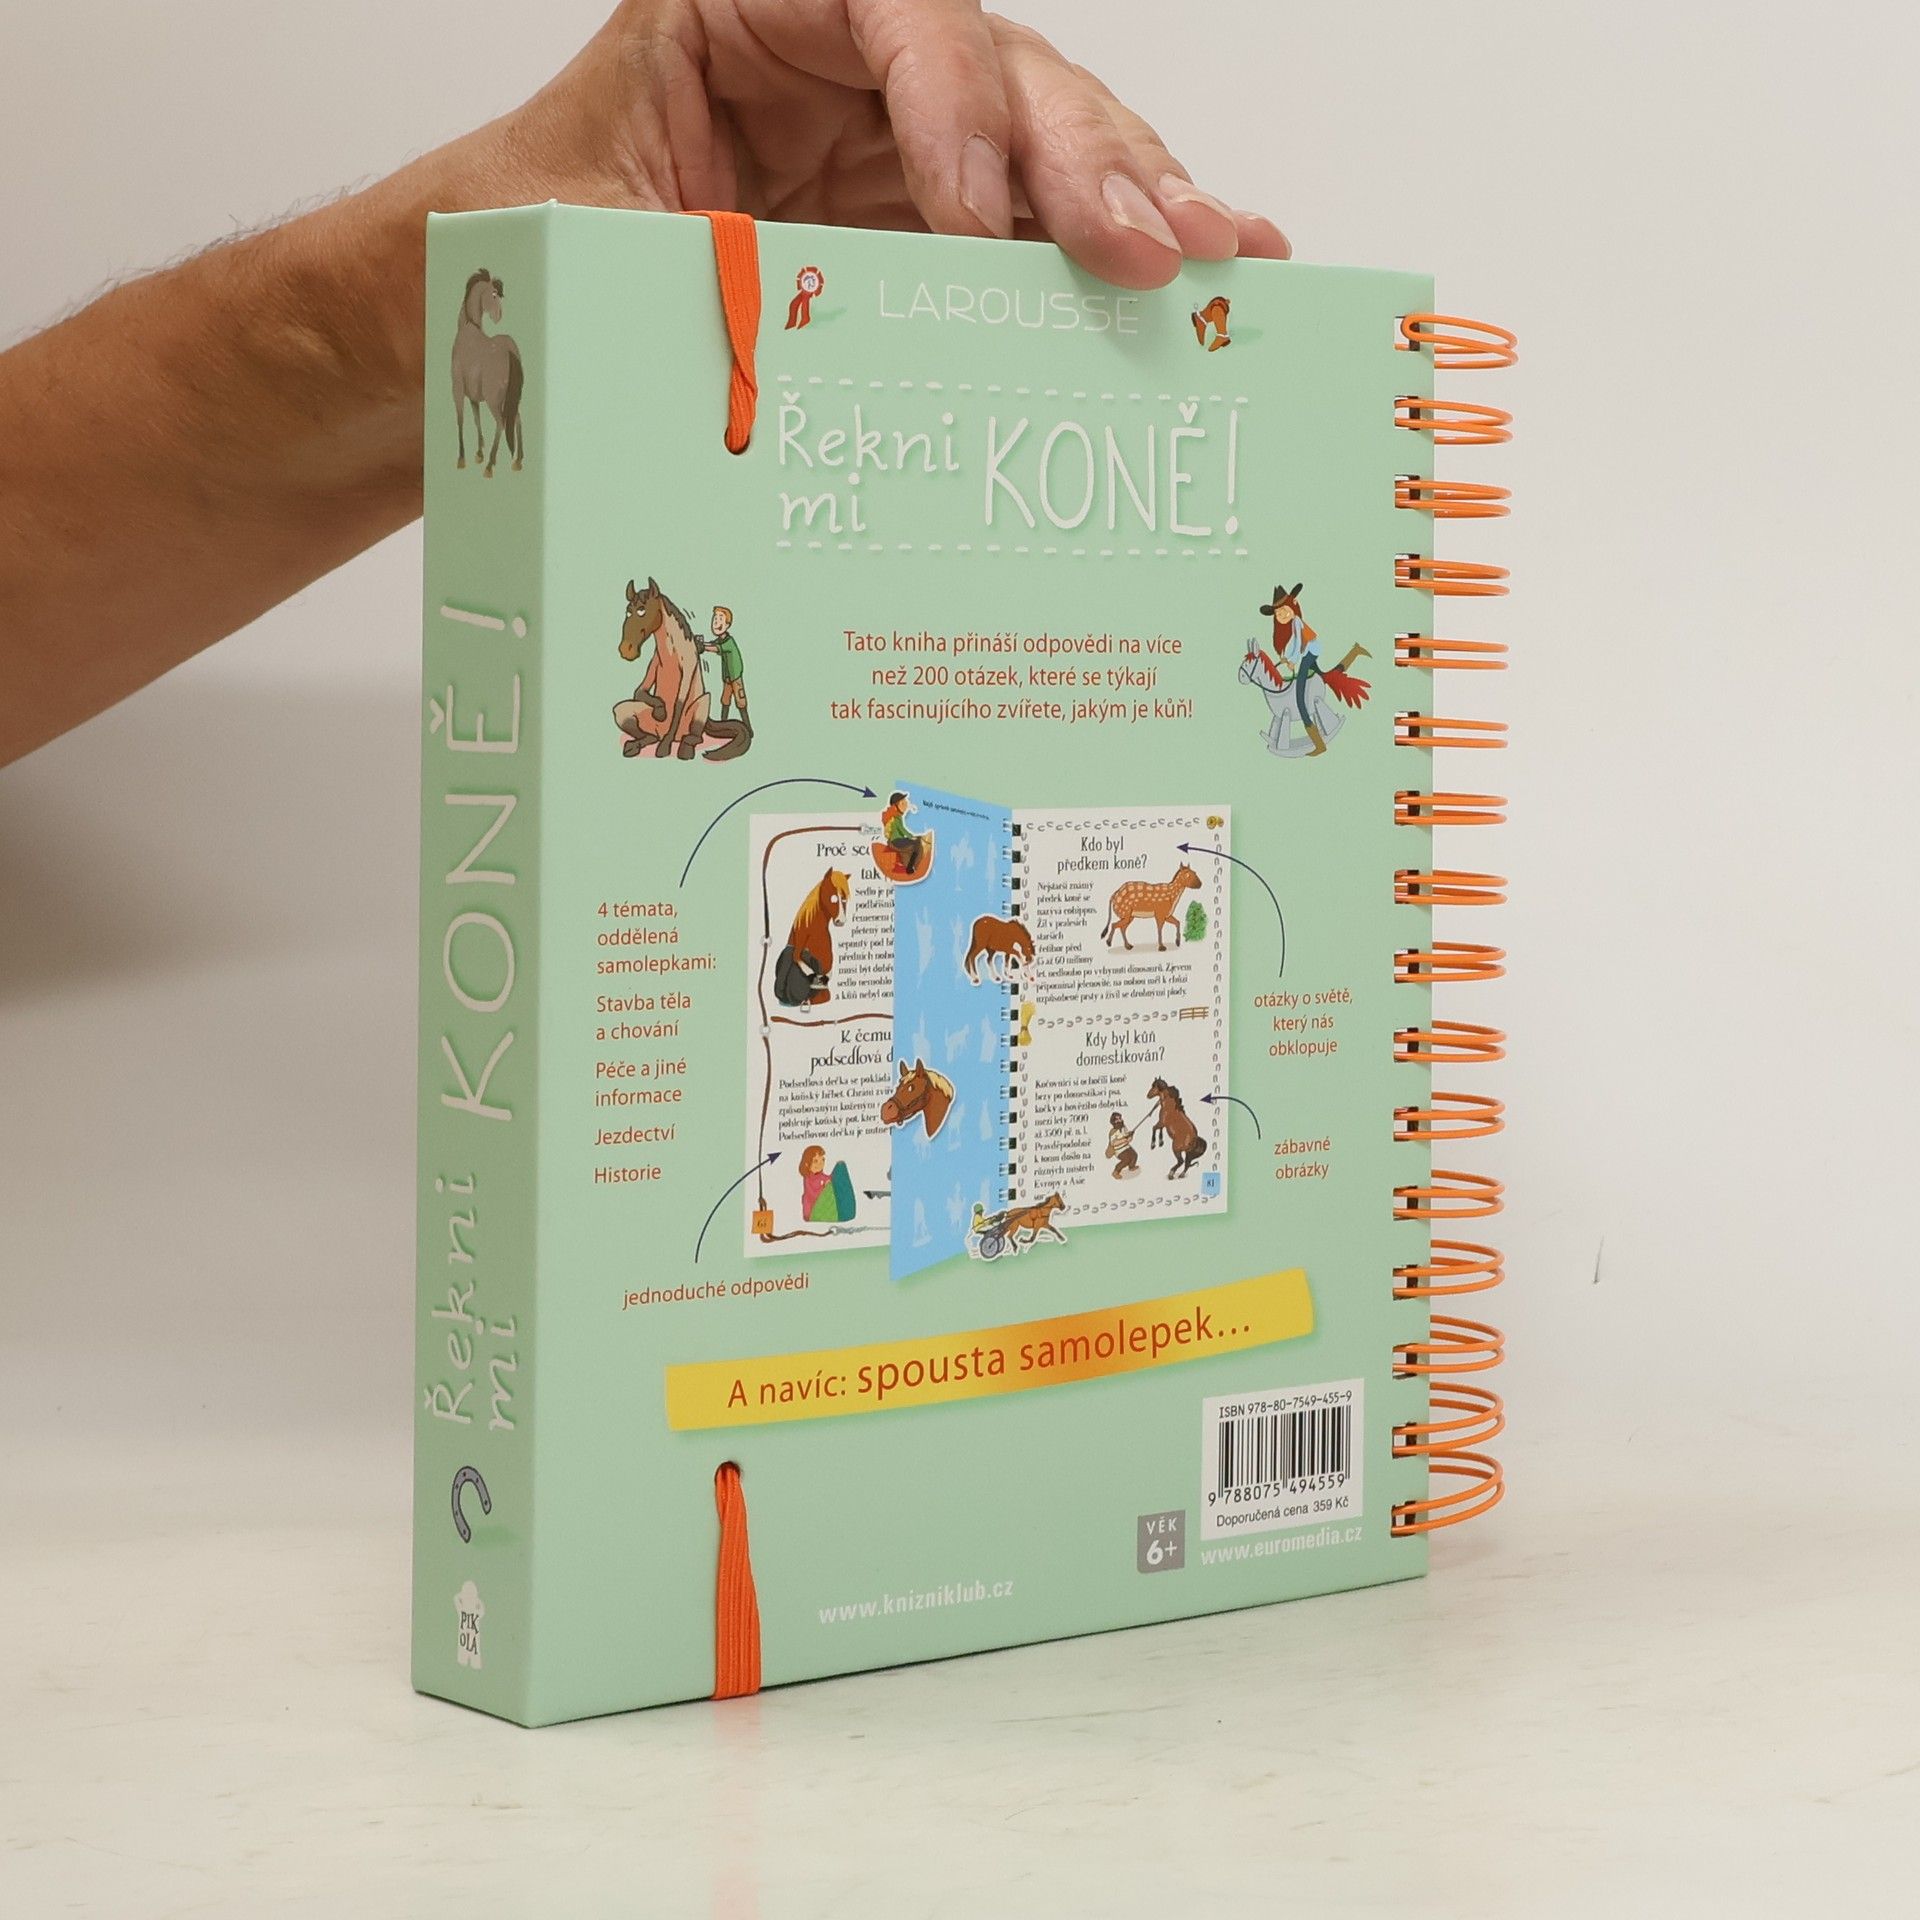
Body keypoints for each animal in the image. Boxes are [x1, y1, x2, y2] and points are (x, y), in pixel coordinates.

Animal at [451, 269, 525, 477]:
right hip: (510, 399)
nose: (498, 316)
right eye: (493, 295)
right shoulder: (473, 397)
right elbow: (476, 419)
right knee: (517, 419)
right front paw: (478, 453)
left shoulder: (458, 391)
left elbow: (460, 419)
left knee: (501, 423)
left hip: (494, 400)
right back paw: (518, 461)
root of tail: (509, 351)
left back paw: (490, 465)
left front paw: (462, 458)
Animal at [612, 578, 751, 762]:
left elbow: (678, 705)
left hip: (702, 703)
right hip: (630, 715)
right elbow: (640, 691)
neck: (672, 651)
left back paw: (685, 748)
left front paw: (665, 746)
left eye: (642, 610)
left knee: (695, 736)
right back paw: (636, 744)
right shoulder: (650, 670)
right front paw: (661, 711)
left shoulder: (688, 670)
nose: (625, 650)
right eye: (628, 612)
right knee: (645, 731)